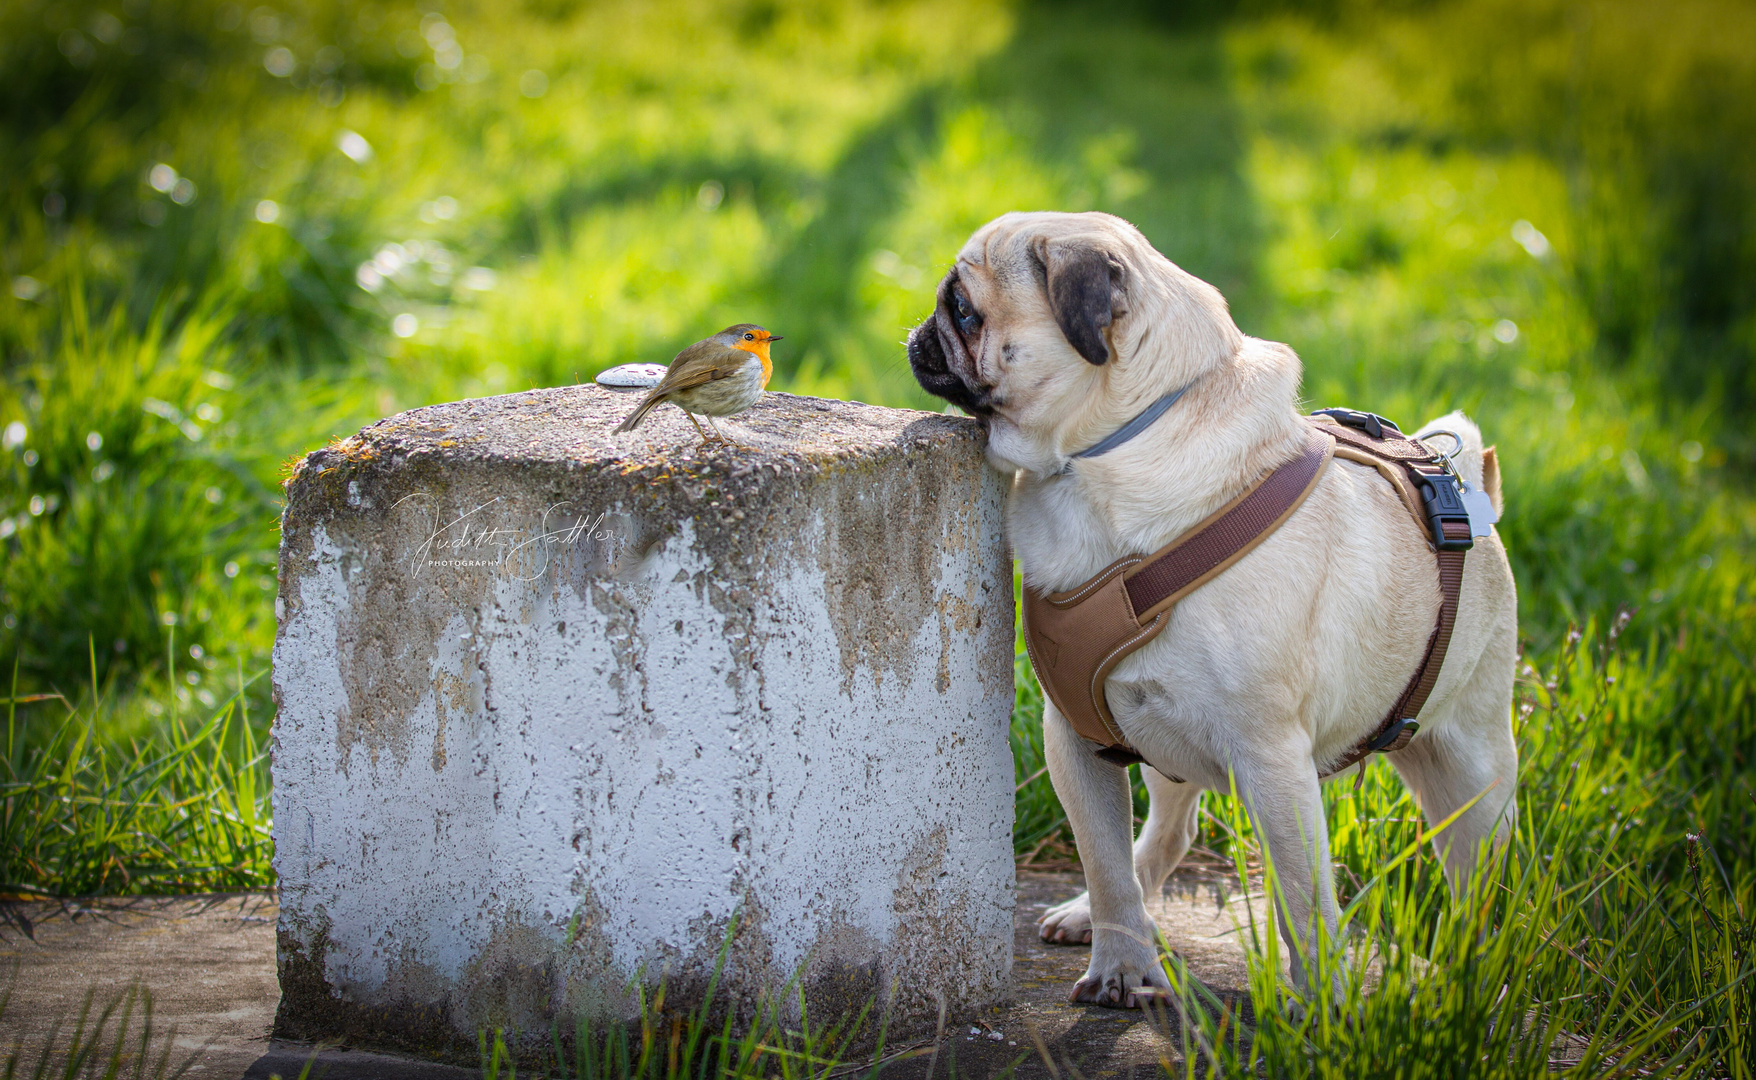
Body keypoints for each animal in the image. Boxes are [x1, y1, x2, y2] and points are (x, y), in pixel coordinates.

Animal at [913, 213, 1517, 1011]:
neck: (1098, 461)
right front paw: (1122, 964)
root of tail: (1464, 483)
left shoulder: (1273, 759)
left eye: (964, 309)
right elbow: (1106, 864)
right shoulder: (1075, 736)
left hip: (1472, 772)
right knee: (1166, 836)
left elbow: (1304, 902)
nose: (919, 332)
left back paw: (1473, 980)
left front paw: (1325, 1007)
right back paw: (1093, 915)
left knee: (1478, 883)